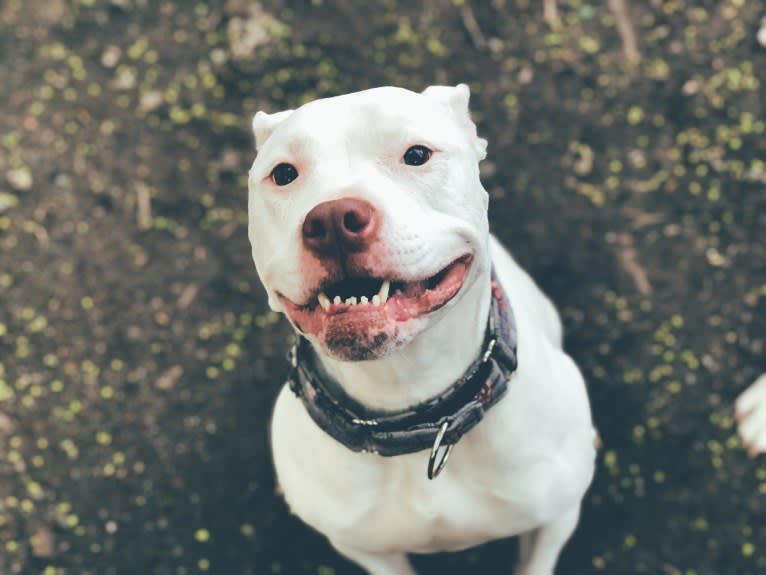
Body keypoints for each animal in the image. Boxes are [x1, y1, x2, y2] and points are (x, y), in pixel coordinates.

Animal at [249, 85, 596, 575]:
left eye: (416, 154)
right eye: (283, 174)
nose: (332, 220)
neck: (414, 411)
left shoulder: (557, 517)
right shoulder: (365, 548)